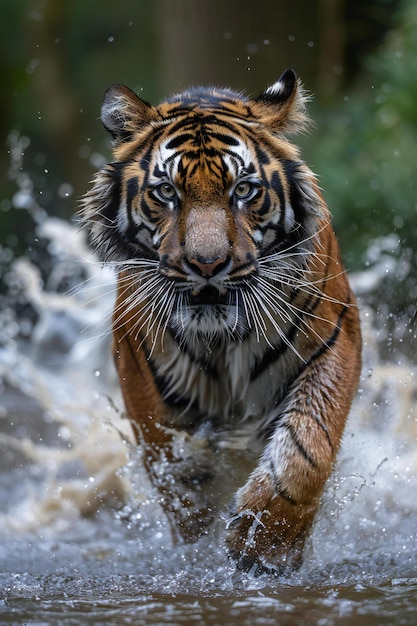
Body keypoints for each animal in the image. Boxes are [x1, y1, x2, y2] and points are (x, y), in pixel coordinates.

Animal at [81, 69, 360, 576]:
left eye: (243, 191)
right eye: (166, 192)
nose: (207, 264)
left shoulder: (335, 339)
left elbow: (308, 448)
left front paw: (265, 544)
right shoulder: (145, 380)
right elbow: (181, 484)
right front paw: (205, 549)